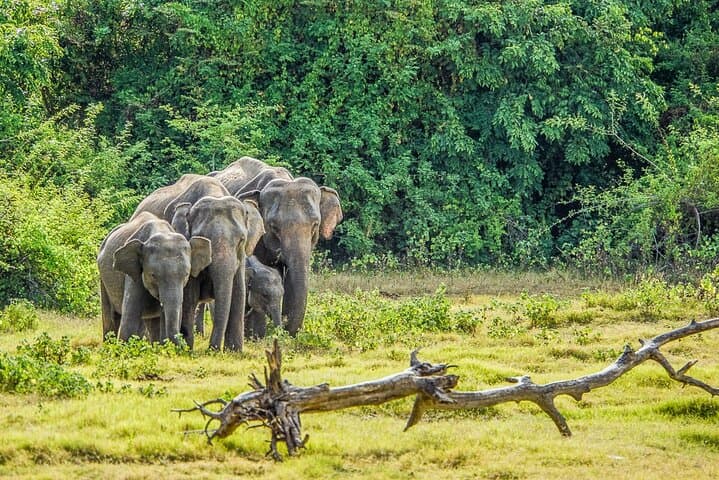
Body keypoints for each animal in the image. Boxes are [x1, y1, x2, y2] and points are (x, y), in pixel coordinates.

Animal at [97, 211, 212, 343]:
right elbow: (130, 321)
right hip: (103, 278)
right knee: (110, 318)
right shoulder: (134, 274)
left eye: (186, 274)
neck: (162, 232)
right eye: (153, 275)